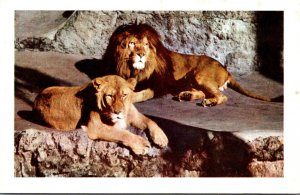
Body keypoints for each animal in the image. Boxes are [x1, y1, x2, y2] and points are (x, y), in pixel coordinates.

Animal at [33, 75, 169, 155]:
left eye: (124, 95)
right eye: (109, 96)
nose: (118, 112)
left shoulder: (133, 115)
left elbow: (150, 121)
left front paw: (161, 137)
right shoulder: (96, 127)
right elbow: (122, 133)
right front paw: (141, 144)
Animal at [104, 23, 280, 107]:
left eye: (146, 45)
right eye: (133, 44)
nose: (141, 54)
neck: (133, 70)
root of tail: (225, 69)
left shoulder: (157, 86)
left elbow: (139, 94)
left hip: (200, 76)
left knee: (222, 96)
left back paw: (210, 102)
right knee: (202, 92)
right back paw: (187, 96)